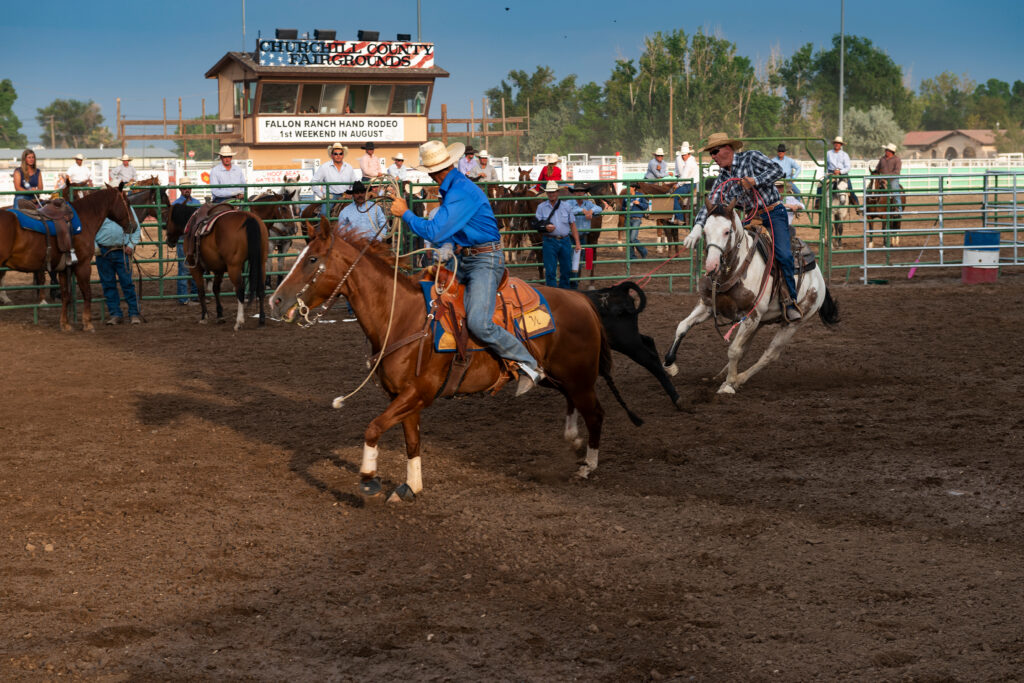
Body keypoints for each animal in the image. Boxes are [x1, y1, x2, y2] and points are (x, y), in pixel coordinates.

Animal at [0, 187, 138, 331]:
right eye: (127, 202)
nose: (134, 226)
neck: (84, 219)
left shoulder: (64, 269)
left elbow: (66, 296)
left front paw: (65, 324)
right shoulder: (83, 265)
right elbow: (87, 293)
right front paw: (87, 324)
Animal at [164, 202, 268, 331]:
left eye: (167, 218)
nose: (169, 241)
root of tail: (249, 219)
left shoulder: (195, 268)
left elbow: (201, 291)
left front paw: (204, 317)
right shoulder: (219, 269)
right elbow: (216, 289)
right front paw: (219, 315)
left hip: (234, 266)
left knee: (240, 290)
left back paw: (239, 321)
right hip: (261, 262)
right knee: (261, 288)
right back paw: (262, 319)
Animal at [270, 220, 638, 501]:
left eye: (312, 259)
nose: (276, 301)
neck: (402, 316)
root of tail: (582, 300)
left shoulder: (419, 393)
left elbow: (373, 427)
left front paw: (369, 478)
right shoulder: (402, 397)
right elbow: (412, 441)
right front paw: (411, 487)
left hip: (579, 376)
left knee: (595, 412)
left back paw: (588, 465)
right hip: (556, 376)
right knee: (572, 402)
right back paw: (574, 441)